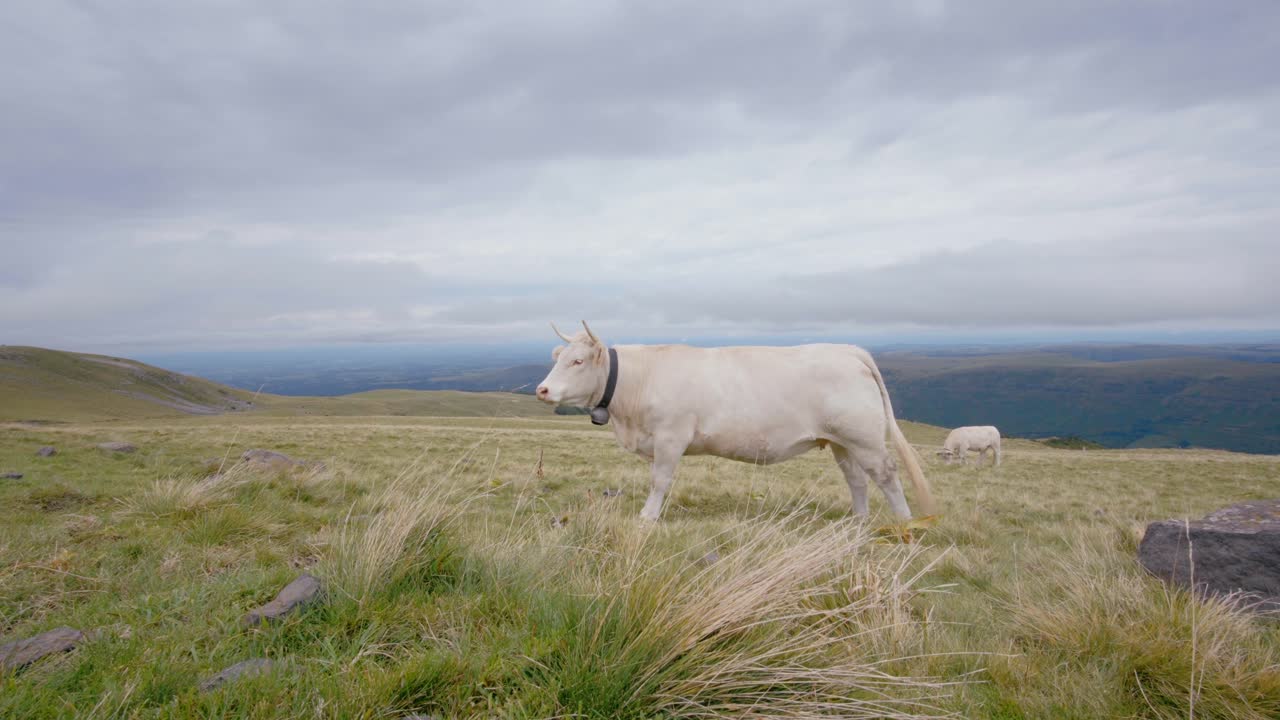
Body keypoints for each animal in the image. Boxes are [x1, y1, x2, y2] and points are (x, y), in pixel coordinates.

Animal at [535, 321, 936, 522]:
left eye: (577, 361)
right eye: (560, 357)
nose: (542, 389)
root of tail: (848, 351)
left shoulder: (670, 436)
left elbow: (659, 480)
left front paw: (648, 517)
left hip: (864, 437)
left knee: (886, 474)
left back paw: (904, 522)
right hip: (842, 441)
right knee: (856, 479)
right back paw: (858, 521)